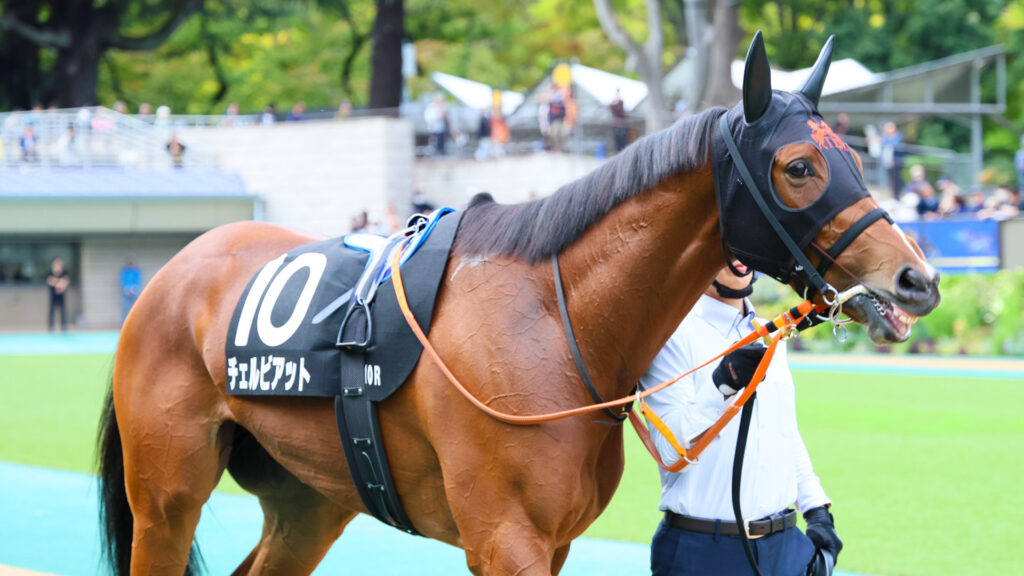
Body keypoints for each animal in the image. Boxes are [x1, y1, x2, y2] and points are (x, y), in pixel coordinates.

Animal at [98, 33, 939, 575]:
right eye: (798, 166)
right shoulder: (506, 540)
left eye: (855, 153)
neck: (553, 325)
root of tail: (175, 271)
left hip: (309, 499)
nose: (917, 280)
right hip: (166, 497)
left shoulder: (553, 541)